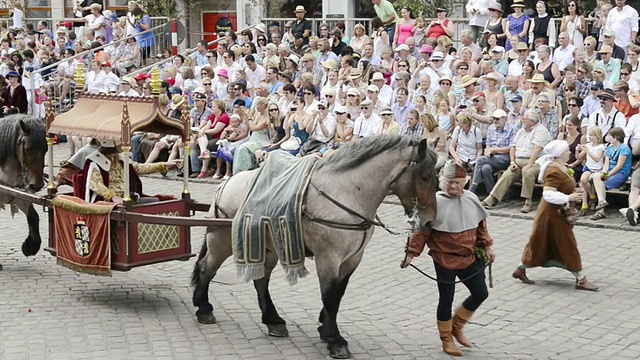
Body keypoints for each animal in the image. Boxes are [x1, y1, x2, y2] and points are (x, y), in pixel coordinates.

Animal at [0, 114, 47, 270]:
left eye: (46, 149)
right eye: (27, 148)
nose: (36, 185)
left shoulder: (17, 196)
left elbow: (33, 217)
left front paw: (30, 246)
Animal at [192, 136, 438, 358]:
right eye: (424, 177)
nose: (429, 222)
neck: (346, 193)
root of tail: (227, 183)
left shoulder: (352, 259)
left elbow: (338, 295)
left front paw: (325, 328)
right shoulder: (328, 257)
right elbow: (329, 296)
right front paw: (335, 339)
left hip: (268, 246)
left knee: (261, 281)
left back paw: (273, 320)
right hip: (222, 241)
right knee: (207, 268)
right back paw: (204, 308)